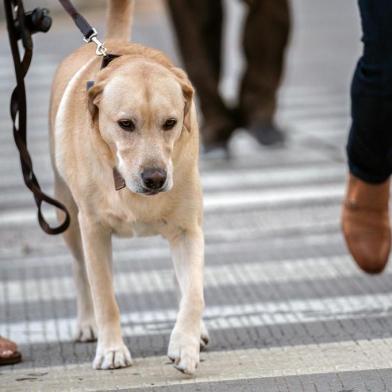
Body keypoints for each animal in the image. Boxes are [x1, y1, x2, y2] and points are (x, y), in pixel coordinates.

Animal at [50, 0, 207, 374]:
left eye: (171, 123)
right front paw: (111, 350)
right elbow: (104, 295)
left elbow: (194, 292)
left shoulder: (188, 229)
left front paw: (185, 344)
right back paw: (86, 323)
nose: (155, 178)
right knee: (79, 269)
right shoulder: (93, 230)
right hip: (68, 215)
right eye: (125, 124)